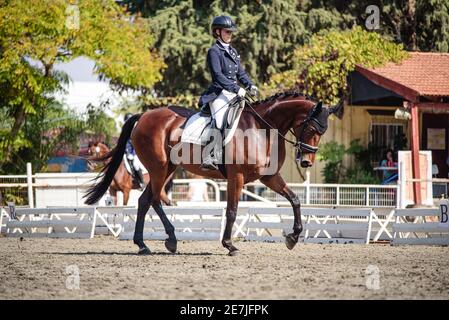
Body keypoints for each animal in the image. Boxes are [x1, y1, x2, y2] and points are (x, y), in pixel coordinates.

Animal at [84, 92, 338, 255]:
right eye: (312, 128)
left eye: (323, 132)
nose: (306, 161)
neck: (261, 128)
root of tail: (144, 116)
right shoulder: (237, 177)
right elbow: (232, 210)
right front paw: (229, 245)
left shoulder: (268, 177)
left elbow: (294, 199)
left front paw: (293, 237)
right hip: (158, 168)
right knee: (154, 199)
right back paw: (165, 241)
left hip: (166, 169)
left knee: (147, 200)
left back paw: (147, 244)